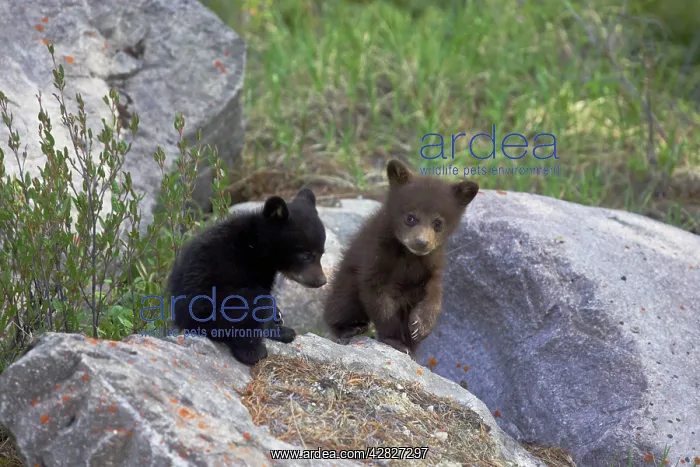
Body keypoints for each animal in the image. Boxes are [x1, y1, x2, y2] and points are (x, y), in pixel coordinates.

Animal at [166, 188, 327, 366]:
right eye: (306, 255)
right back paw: (254, 352)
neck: (258, 246)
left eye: (321, 253)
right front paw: (279, 330)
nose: (322, 281)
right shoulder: (251, 269)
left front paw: (282, 330)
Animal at [323, 159, 479, 358]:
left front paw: (420, 327)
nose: (421, 242)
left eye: (438, 223)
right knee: (340, 305)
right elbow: (380, 301)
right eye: (410, 217)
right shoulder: (376, 259)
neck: (409, 258)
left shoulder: (432, 266)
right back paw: (351, 328)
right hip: (347, 282)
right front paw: (395, 340)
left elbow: (434, 295)